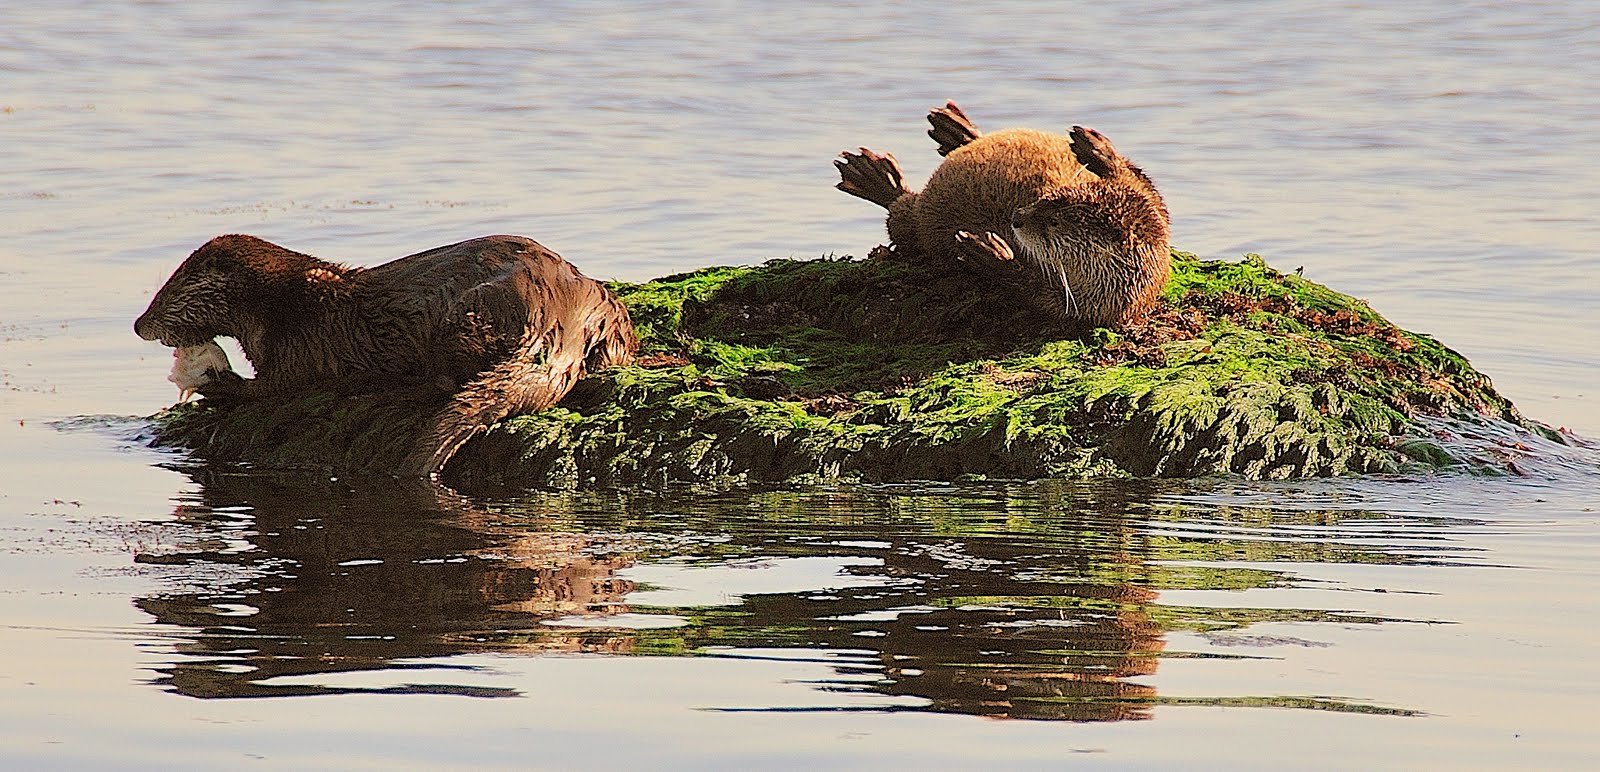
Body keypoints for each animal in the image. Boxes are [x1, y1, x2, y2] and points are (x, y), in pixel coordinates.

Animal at [135, 234, 638, 476]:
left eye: (166, 295)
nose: (139, 324)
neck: (281, 305)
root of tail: (560, 312)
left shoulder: (303, 346)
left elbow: (275, 387)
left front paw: (217, 385)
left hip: (466, 315)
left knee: (449, 377)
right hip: (614, 325)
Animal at [834, 101, 1171, 328]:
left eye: (1054, 223)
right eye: (1051, 198)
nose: (1017, 217)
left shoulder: (1080, 306)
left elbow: (1028, 290)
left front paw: (990, 254)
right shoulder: (1154, 208)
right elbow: (1141, 184)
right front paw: (1097, 149)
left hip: (919, 221)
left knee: (902, 217)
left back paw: (876, 178)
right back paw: (956, 129)